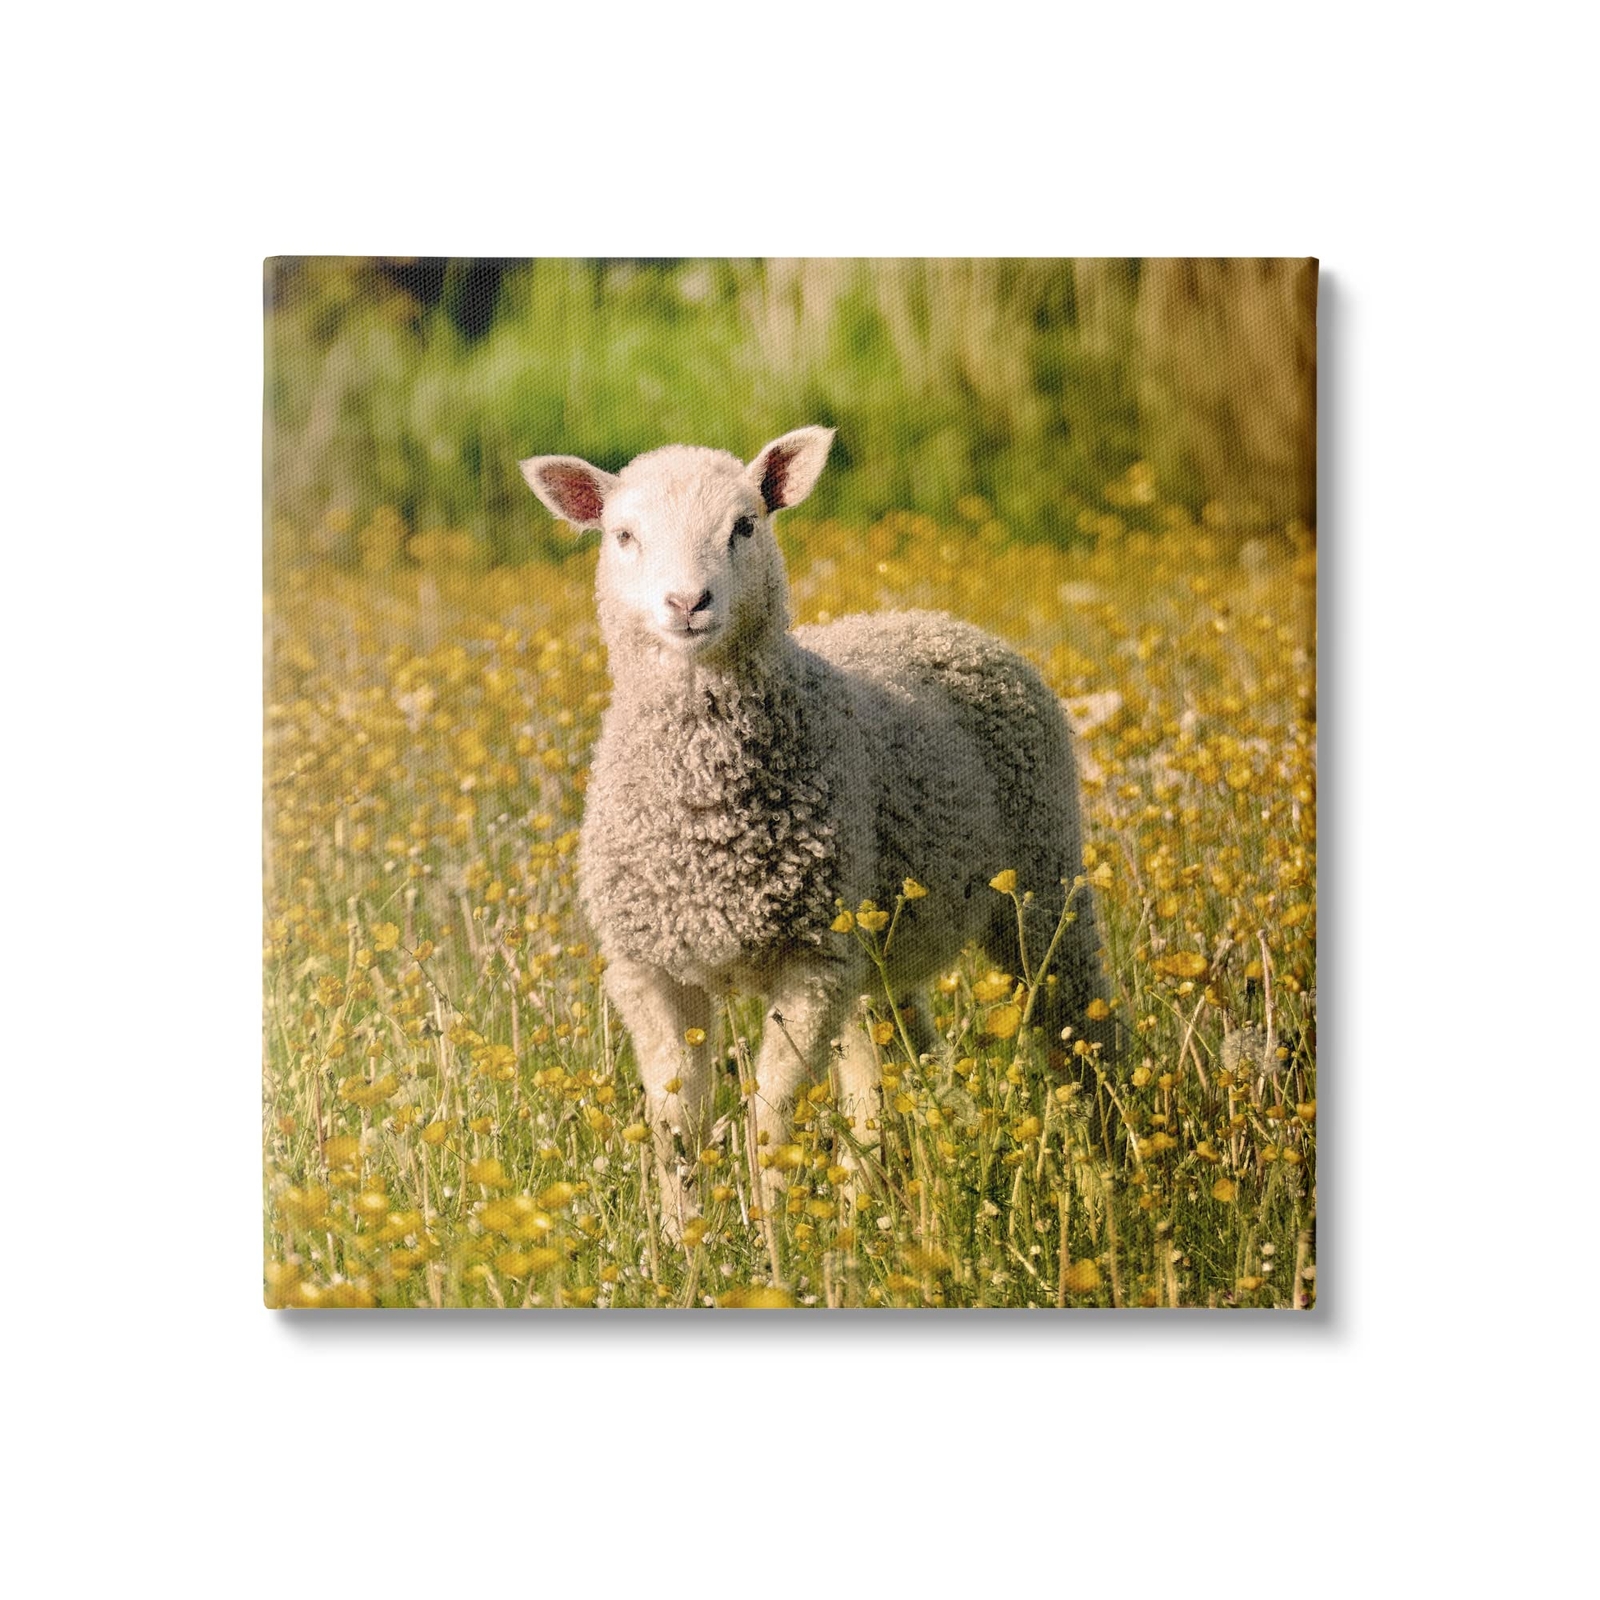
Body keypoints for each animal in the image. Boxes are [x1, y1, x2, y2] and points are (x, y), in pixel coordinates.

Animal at [519, 427, 1108, 1230]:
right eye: (623, 536)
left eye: (744, 526)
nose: (687, 603)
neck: (706, 822)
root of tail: (937, 619)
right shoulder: (650, 969)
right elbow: (677, 1122)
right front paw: (679, 1238)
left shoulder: (809, 962)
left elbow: (771, 1116)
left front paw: (771, 1232)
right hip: (875, 949)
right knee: (892, 1067)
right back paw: (884, 1204)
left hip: (1042, 879)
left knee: (1080, 1023)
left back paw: (1114, 1165)